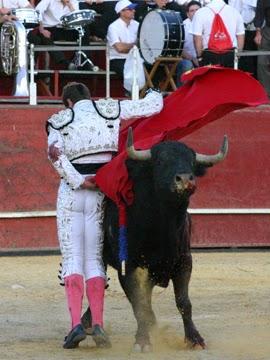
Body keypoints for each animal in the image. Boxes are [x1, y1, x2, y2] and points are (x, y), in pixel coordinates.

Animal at [81, 129, 228, 352]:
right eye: (160, 161)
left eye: (192, 161)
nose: (185, 179)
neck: (163, 228)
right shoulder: (128, 266)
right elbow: (140, 305)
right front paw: (142, 341)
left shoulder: (184, 262)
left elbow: (183, 302)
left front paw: (194, 339)